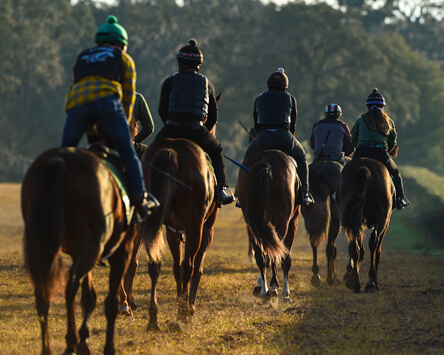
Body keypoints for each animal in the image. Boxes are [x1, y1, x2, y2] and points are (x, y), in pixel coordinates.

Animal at [20, 147, 138, 355]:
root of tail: (60, 160)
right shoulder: (121, 251)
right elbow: (110, 302)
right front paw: (107, 346)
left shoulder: (81, 253)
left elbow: (89, 298)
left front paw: (85, 341)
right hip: (93, 249)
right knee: (71, 285)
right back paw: (70, 342)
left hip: (45, 246)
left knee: (42, 292)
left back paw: (48, 348)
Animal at [120, 138, 219, 330]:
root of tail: (171, 150)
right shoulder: (205, 229)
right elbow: (194, 268)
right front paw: (189, 307)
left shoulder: (172, 230)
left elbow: (175, 267)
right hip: (195, 226)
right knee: (188, 266)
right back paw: (182, 318)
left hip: (147, 220)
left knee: (153, 264)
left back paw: (152, 317)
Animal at [236, 149, 302, 302]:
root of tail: (266, 162)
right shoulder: (292, 222)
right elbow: (285, 256)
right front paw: (285, 293)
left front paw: (260, 284)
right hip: (283, 221)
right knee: (276, 253)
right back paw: (273, 287)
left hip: (252, 222)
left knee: (261, 256)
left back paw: (265, 290)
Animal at [302, 160, 344, 288]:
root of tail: (322, 171)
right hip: (335, 221)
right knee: (330, 248)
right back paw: (330, 278)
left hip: (309, 220)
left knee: (314, 243)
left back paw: (316, 277)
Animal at [338, 157, 394, 294]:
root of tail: (364, 168)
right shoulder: (385, 221)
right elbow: (377, 251)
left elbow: (359, 248)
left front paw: (350, 275)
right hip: (382, 218)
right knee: (373, 243)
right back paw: (370, 283)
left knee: (354, 247)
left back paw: (356, 284)